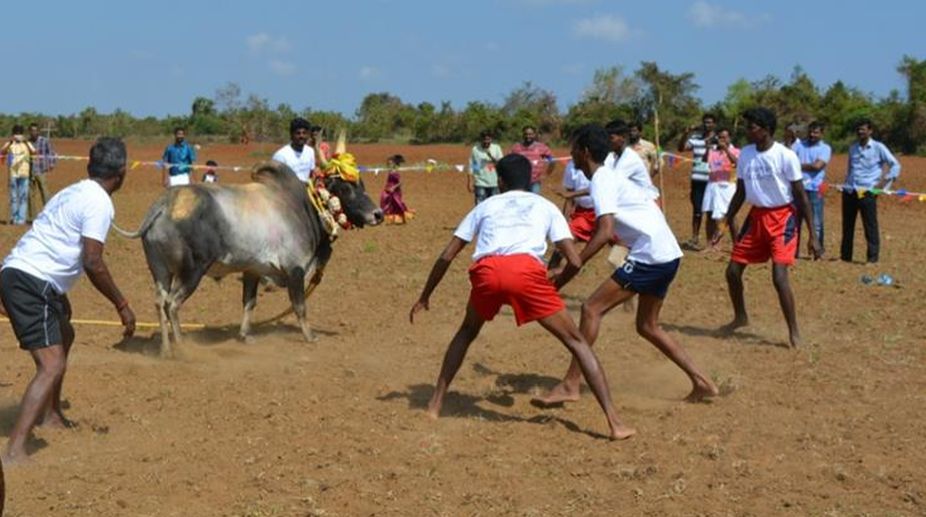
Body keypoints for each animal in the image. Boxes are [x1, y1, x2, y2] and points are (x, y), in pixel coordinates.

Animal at [115, 159, 384, 356]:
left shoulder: (253, 270)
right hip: (191, 272)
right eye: (346, 189)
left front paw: (245, 335)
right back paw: (182, 346)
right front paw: (310, 336)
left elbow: (249, 303)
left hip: (160, 271)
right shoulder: (295, 270)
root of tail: (163, 205)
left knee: (160, 303)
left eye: (361, 184)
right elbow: (299, 306)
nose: (378, 214)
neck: (304, 207)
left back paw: (165, 349)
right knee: (172, 304)